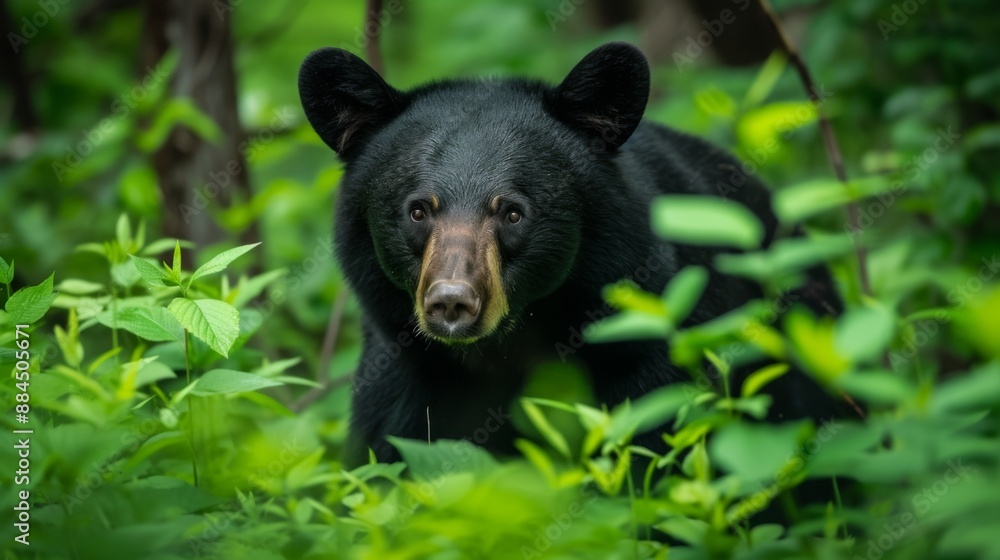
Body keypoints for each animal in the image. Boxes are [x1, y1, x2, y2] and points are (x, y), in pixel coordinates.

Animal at [297, 42, 848, 469]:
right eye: (418, 210)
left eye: (512, 212)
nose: (452, 302)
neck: (511, 350)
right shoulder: (405, 372)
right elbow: (387, 458)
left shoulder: (654, 350)